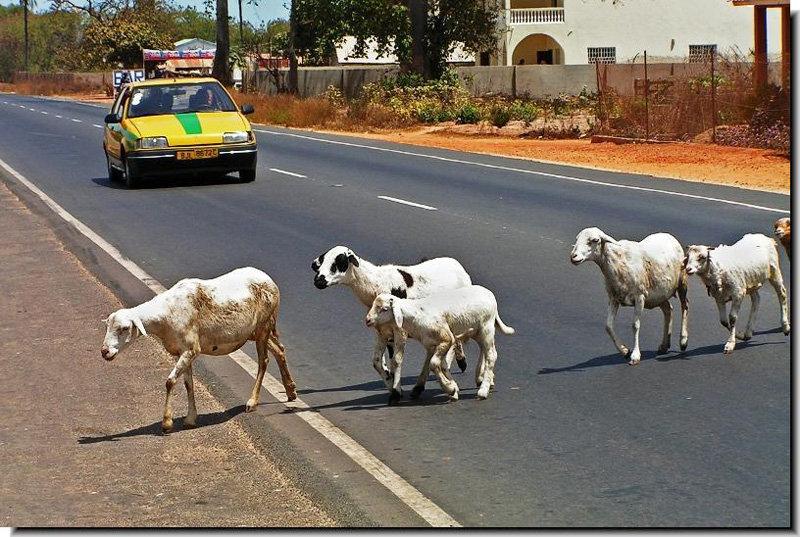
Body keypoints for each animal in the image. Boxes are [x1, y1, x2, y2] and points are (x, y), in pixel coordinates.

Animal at [100, 266, 296, 434]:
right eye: (107, 327)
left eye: (124, 328)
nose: (104, 352)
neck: (165, 316)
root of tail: (268, 279)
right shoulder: (181, 351)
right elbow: (188, 384)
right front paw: (190, 419)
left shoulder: (191, 348)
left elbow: (170, 382)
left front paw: (167, 423)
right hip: (255, 331)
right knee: (279, 349)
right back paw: (291, 390)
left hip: (264, 325)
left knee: (264, 361)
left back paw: (253, 402)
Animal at [310, 245, 476, 392]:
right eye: (322, 261)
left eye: (339, 262)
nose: (318, 281)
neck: (374, 283)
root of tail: (457, 264)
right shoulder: (381, 329)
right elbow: (379, 361)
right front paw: (390, 382)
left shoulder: (398, 328)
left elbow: (394, 359)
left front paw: (395, 386)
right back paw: (461, 362)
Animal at [366, 286, 516, 400]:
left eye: (384, 309)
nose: (367, 320)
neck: (415, 315)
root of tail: (489, 293)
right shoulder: (433, 344)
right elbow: (439, 365)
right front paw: (452, 388)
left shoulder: (446, 339)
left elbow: (433, 363)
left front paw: (449, 389)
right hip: (476, 332)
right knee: (484, 350)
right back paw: (481, 378)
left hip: (487, 328)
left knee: (491, 355)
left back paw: (483, 390)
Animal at [568, 226, 688, 364]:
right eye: (577, 239)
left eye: (594, 240)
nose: (573, 256)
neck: (618, 262)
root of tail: (668, 235)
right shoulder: (614, 298)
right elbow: (608, 326)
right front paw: (625, 351)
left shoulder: (639, 297)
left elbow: (635, 325)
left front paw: (635, 355)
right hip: (659, 294)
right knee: (669, 310)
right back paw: (664, 346)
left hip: (682, 282)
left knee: (685, 306)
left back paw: (683, 341)